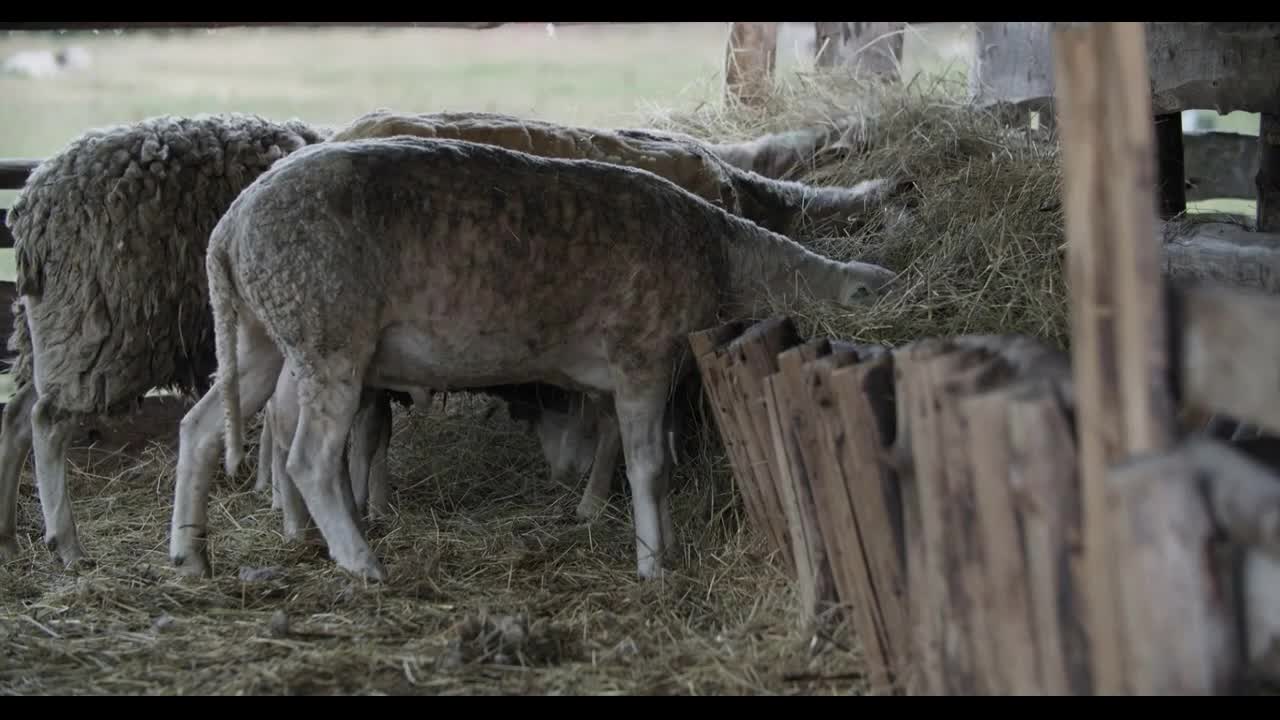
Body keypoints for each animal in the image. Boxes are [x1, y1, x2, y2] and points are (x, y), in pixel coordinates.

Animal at [0, 112, 332, 563]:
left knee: (17, 415)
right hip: (100, 329)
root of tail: (34, 201)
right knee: (47, 422)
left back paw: (8, 538)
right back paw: (67, 544)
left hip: (61, 334)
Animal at [165, 135, 896, 584]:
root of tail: (229, 227)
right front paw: (654, 564)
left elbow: (624, 454)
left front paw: (622, 525)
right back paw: (360, 562)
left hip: (264, 333)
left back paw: (189, 554)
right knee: (310, 459)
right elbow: (649, 468)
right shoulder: (641, 354)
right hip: (326, 334)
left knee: (198, 428)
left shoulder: (624, 375)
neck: (723, 251)